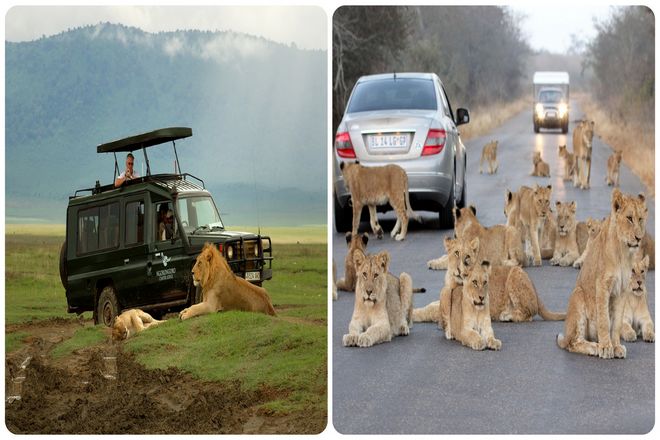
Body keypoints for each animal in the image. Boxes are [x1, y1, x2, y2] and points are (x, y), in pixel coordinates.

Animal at [556, 189, 648, 358]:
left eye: (640, 219)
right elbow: (604, 320)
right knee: (573, 343)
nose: (639, 238)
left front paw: (616, 346)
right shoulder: (602, 285)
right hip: (578, 295)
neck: (623, 252)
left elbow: (616, 323)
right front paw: (606, 347)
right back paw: (595, 347)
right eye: (629, 218)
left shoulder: (622, 289)